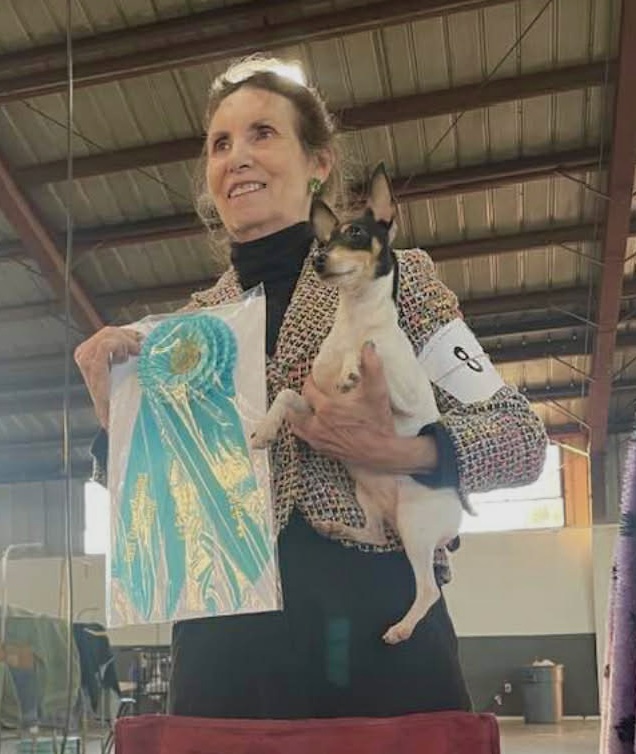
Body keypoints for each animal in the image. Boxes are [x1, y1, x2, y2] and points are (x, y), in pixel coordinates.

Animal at [251, 164, 464, 644]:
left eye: (355, 232)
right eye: (324, 239)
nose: (318, 259)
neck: (354, 319)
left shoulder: (406, 396)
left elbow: (372, 349)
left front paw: (354, 366)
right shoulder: (314, 406)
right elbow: (287, 395)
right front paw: (266, 429)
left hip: (416, 527)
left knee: (427, 590)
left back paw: (402, 628)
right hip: (369, 497)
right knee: (373, 532)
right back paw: (338, 525)